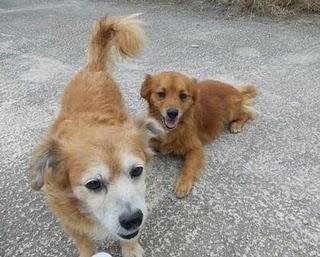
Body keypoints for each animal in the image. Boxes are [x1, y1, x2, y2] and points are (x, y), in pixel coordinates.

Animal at [28, 15, 164, 255]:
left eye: (137, 171)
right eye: (93, 185)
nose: (133, 219)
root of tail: (93, 68)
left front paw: (131, 249)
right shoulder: (70, 223)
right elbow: (83, 242)